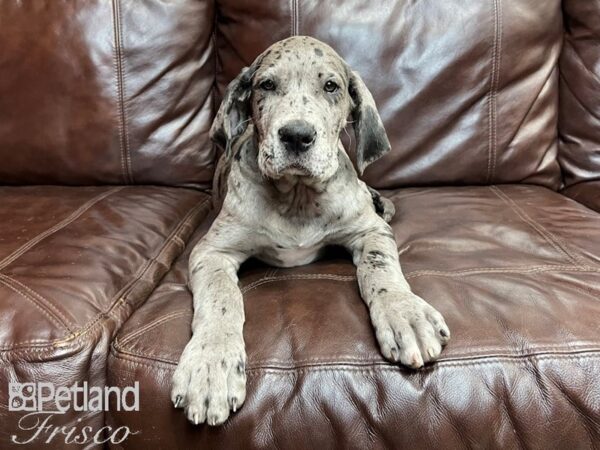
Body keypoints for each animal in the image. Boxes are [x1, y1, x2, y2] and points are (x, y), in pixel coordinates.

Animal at [171, 36, 448, 426]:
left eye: (331, 87)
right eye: (266, 85)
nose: (297, 136)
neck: (297, 196)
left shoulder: (370, 231)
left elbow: (380, 269)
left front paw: (405, 313)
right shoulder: (211, 250)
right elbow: (221, 297)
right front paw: (210, 363)